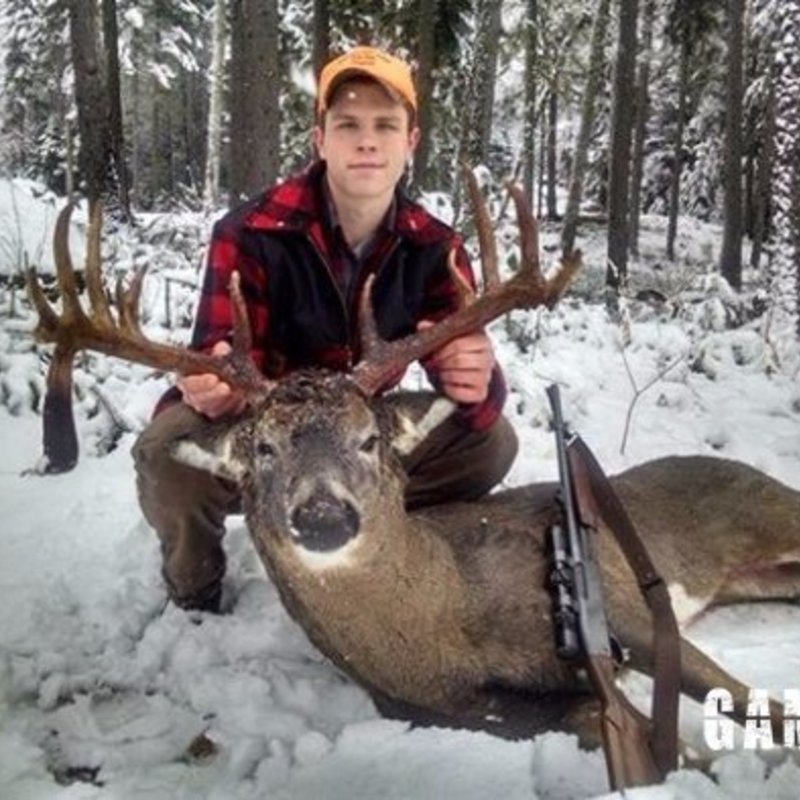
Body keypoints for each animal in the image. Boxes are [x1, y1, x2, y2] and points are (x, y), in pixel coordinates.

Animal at [26, 174, 800, 776]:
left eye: (369, 439)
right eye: (263, 449)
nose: (324, 515)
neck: (450, 618)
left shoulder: (628, 611)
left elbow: (752, 702)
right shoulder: (443, 707)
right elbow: (601, 720)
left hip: (772, 512)